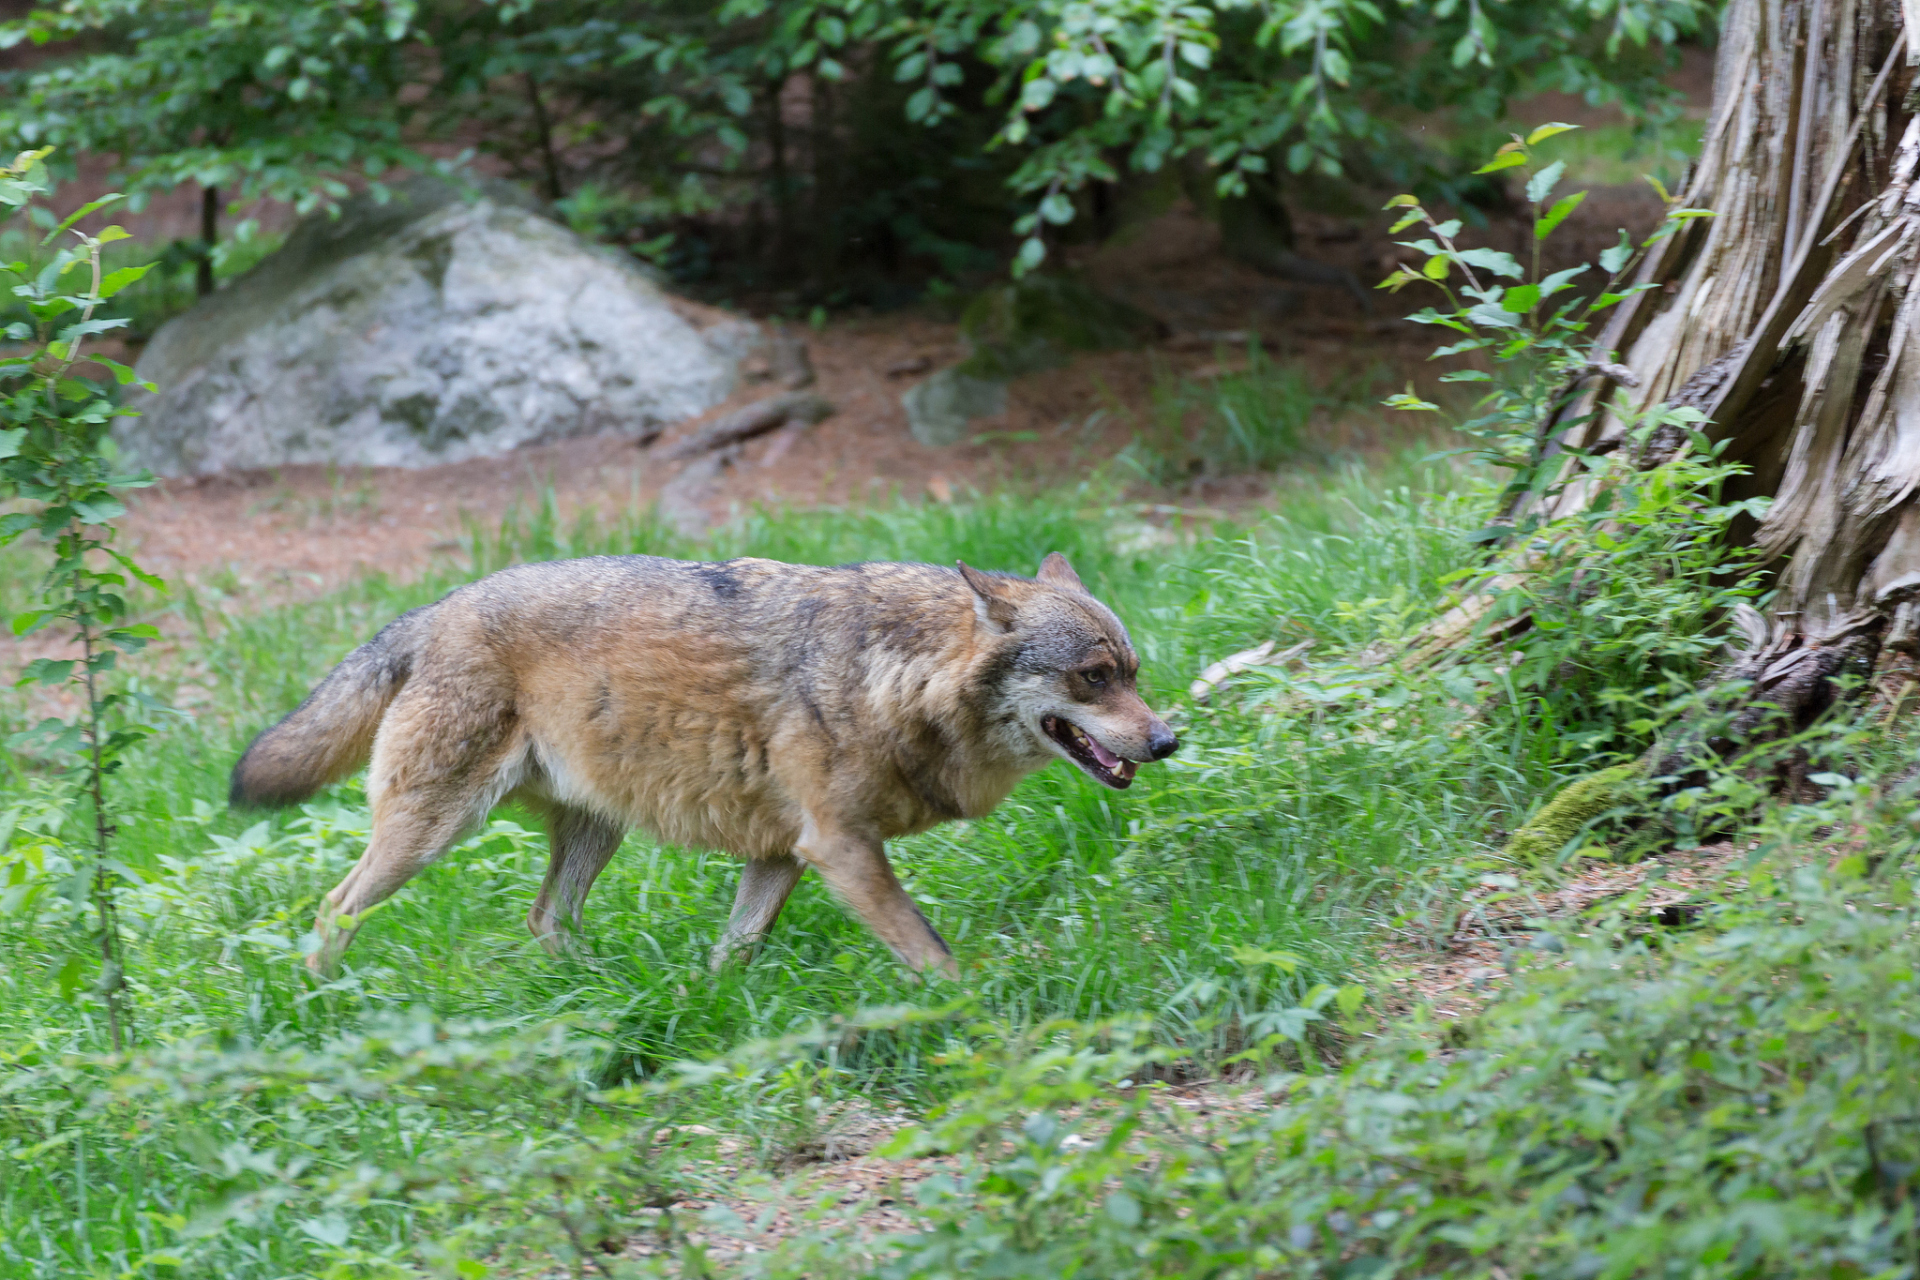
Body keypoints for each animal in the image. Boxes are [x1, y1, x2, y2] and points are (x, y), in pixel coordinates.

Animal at [232, 545, 1175, 974]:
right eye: (1093, 677)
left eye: (1133, 673)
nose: (1168, 740)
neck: (885, 677)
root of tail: (435, 609)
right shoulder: (841, 850)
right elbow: (932, 952)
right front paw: (976, 1008)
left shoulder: (782, 855)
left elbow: (735, 950)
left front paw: (714, 1008)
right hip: (430, 833)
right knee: (334, 907)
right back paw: (324, 1000)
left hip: (594, 834)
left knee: (545, 918)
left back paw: (602, 990)